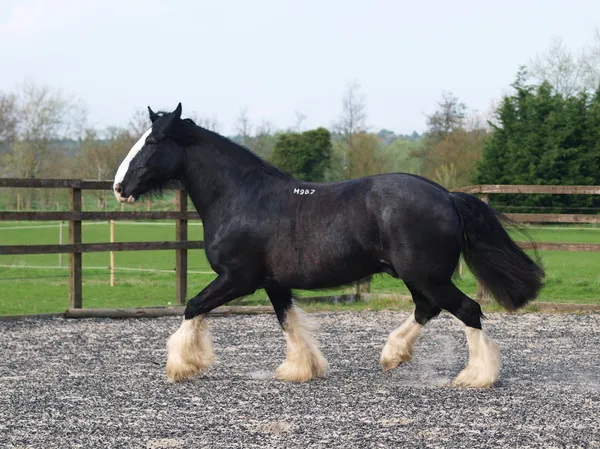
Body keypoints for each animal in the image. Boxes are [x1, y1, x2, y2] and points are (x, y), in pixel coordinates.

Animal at [111, 103, 544, 386]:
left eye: (153, 142)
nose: (119, 188)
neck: (242, 197)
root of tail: (447, 196)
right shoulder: (273, 283)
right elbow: (288, 322)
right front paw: (300, 369)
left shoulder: (237, 279)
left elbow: (192, 306)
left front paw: (181, 366)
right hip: (418, 276)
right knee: (428, 309)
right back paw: (393, 356)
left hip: (427, 275)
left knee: (467, 310)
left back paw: (476, 376)